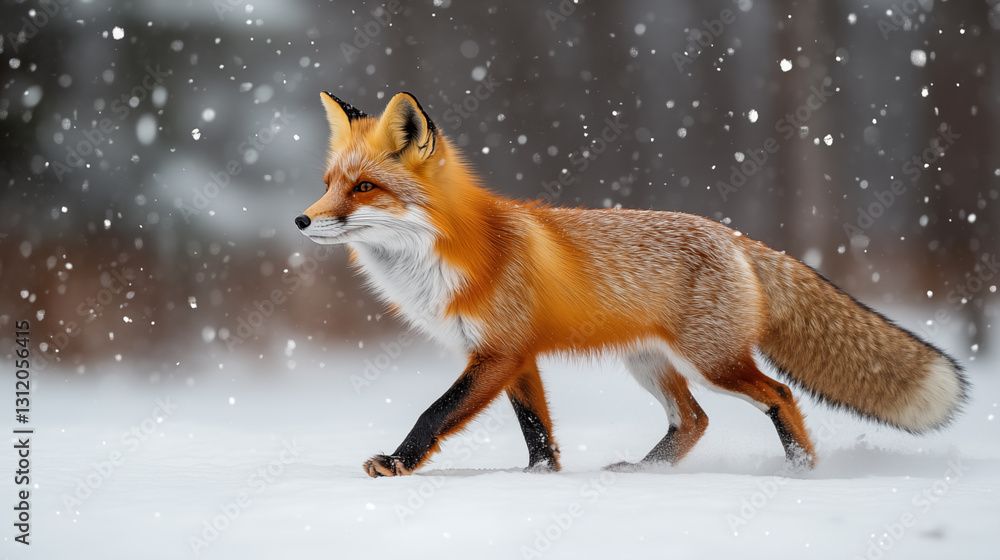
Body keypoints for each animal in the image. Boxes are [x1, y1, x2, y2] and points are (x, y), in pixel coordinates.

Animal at [295, 91, 968, 477]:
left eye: (364, 188)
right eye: (329, 184)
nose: (301, 219)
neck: (454, 252)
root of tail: (738, 238)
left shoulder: (498, 352)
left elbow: (436, 412)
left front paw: (396, 463)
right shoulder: (514, 356)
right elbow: (537, 430)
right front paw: (539, 480)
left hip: (712, 362)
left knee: (778, 395)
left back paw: (801, 471)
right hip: (650, 364)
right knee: (693, 421)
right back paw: (646, 473)